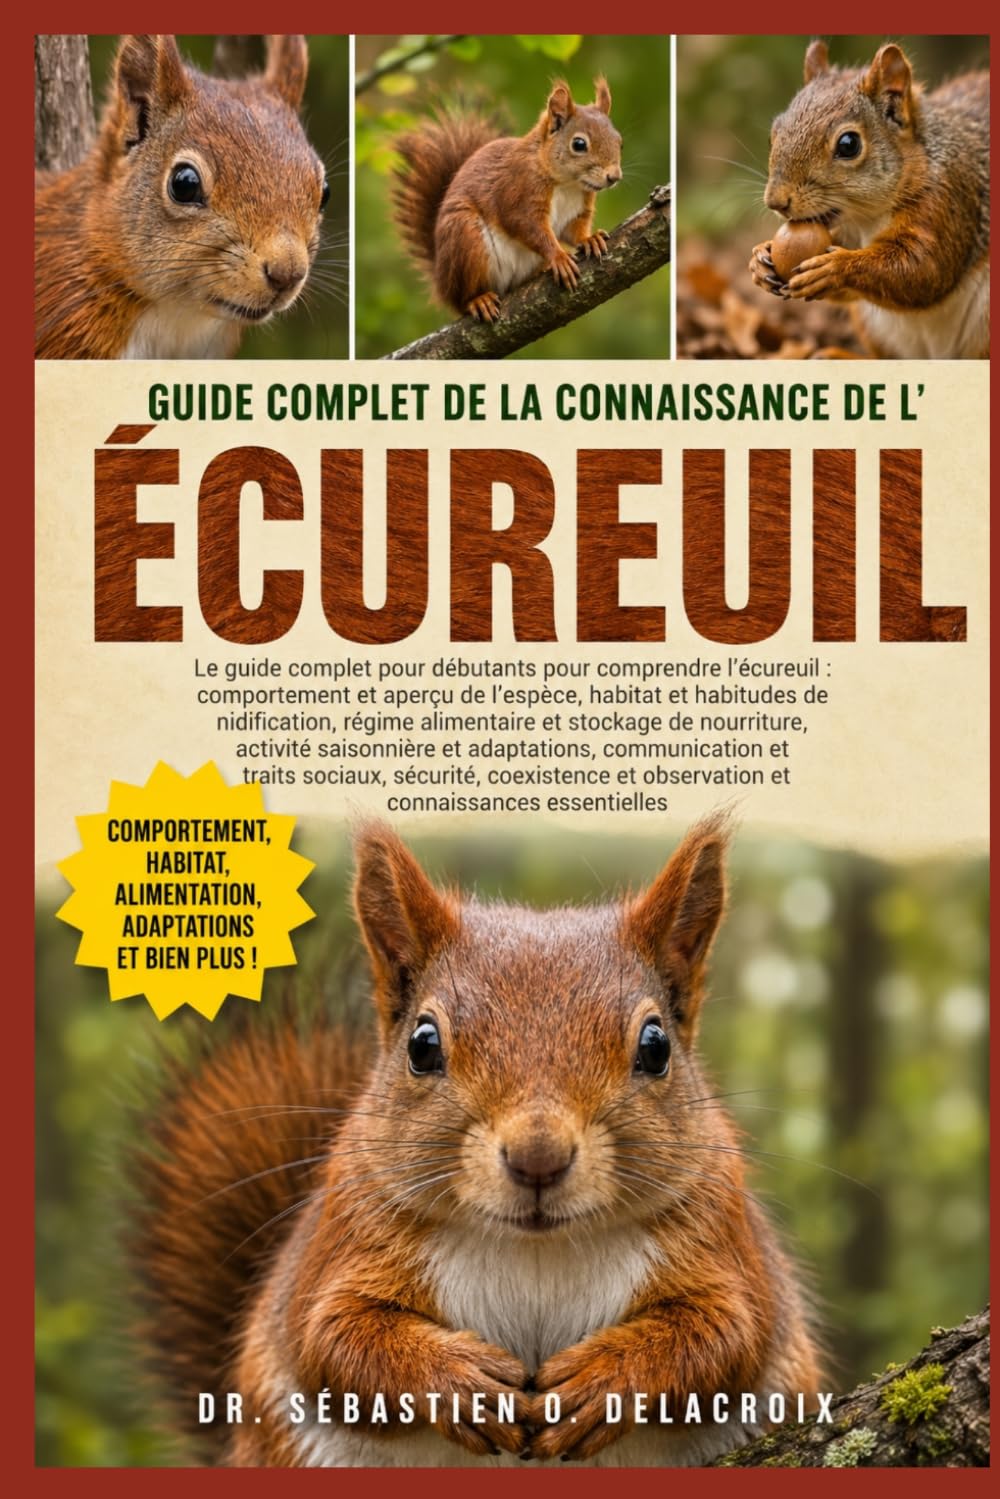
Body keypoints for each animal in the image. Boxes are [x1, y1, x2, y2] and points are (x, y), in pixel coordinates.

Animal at [132, 816, 821, 1468]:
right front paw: (458, 1384)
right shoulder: (338, 1244)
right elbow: (332, 1338)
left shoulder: (725, 1242)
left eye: (656, 1047)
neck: (537, 1252)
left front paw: (604, 1382)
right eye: (422, 1044)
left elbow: (727, 1334)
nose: (538, 1158)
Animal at [392, 79, 622, 323]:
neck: (567, 184)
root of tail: (440, 280)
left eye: (620, 142)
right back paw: (478, 300)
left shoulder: (578, 210)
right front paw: (559, 256)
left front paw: (589, 239)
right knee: (462, 298)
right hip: (464, 238)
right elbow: (527, 227)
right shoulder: (518, 194)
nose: (614, 177)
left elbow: (572, 230)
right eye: (579, 144)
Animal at [748, 41, 989, 359]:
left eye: (849, 145)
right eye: (773, 135)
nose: (776, 202)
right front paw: (759, 259)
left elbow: (924, 268)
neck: (867, 218)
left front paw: (835, 268)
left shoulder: (949, 199)